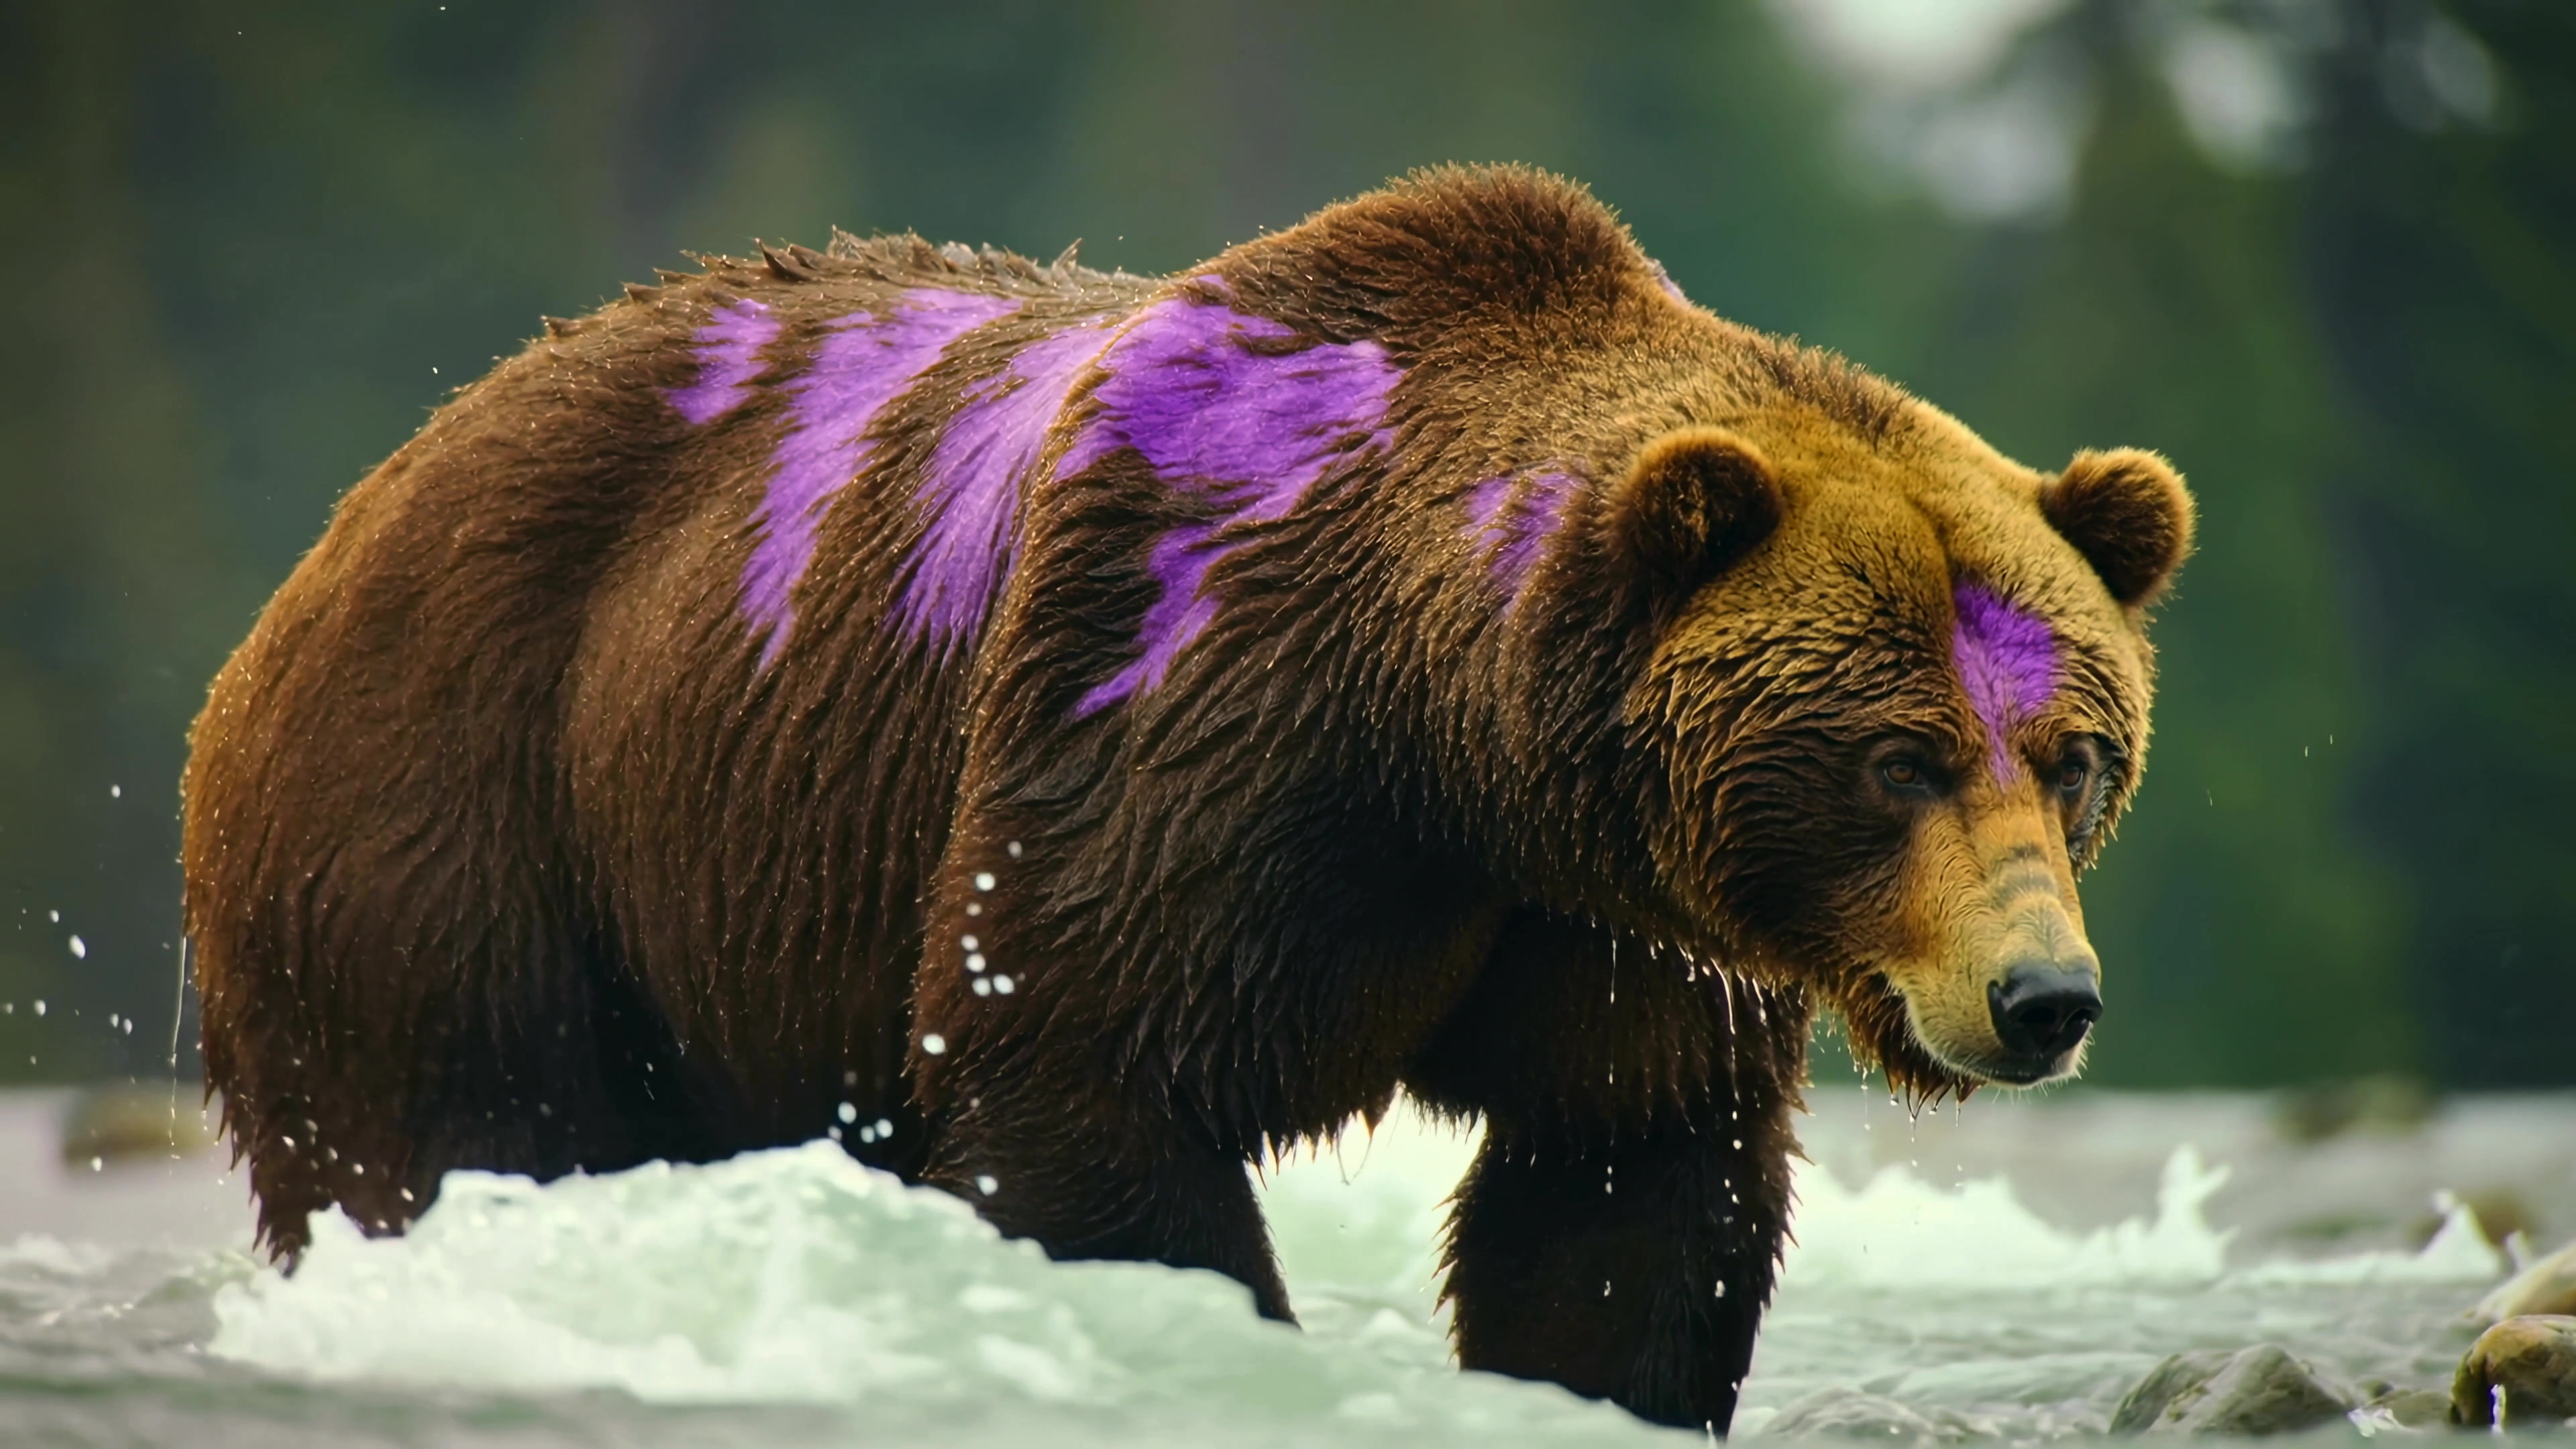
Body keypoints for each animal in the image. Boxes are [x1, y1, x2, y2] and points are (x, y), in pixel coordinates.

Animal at [181, 165, 2191, 1433]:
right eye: (1894, 754)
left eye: (2072, 753)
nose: (2040, 996)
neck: (1440, 736)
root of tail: (350, 516)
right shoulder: (1171, 713)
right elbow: (1087, 1085)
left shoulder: (1605, 923)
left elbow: (1622, 1187)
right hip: (463, 808)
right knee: (450, 1132)